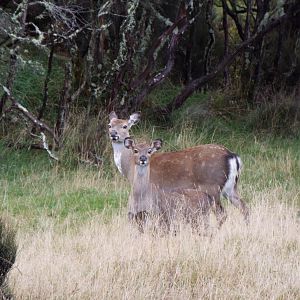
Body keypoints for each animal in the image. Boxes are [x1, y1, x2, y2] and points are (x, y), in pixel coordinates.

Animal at [109, 110, 250, 223]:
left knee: (222, 214)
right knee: (244, 207)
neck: (129, 169)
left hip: (212, 187)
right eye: (109, 125)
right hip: (230, 187)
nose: (113, 134)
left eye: (125, 126)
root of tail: (232, 156)